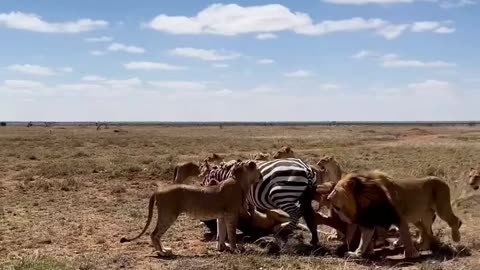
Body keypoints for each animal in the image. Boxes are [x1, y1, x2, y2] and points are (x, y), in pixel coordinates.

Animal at [120, 160, 262, 258]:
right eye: (258, 169)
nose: (261, 175)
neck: (240, 181)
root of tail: (158, 190)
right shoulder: (231, 214)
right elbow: (231, 233)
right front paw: (235, 249)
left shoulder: (222, 215)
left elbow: (222, 233)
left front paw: (222, 247)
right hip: (169, 214)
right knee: (154, 234)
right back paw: (163, 252)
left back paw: (163, 250)